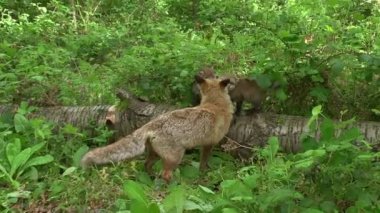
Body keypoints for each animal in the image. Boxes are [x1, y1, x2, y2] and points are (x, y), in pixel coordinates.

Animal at [81, 74, 233, 181]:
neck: (215, 105)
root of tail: (150, 125)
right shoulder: (209, 143)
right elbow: (204, 162)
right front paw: (203, 174)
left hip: (155, 154)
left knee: (146, 164)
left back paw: (152, 177)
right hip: (175, 157)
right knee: (165, 174)